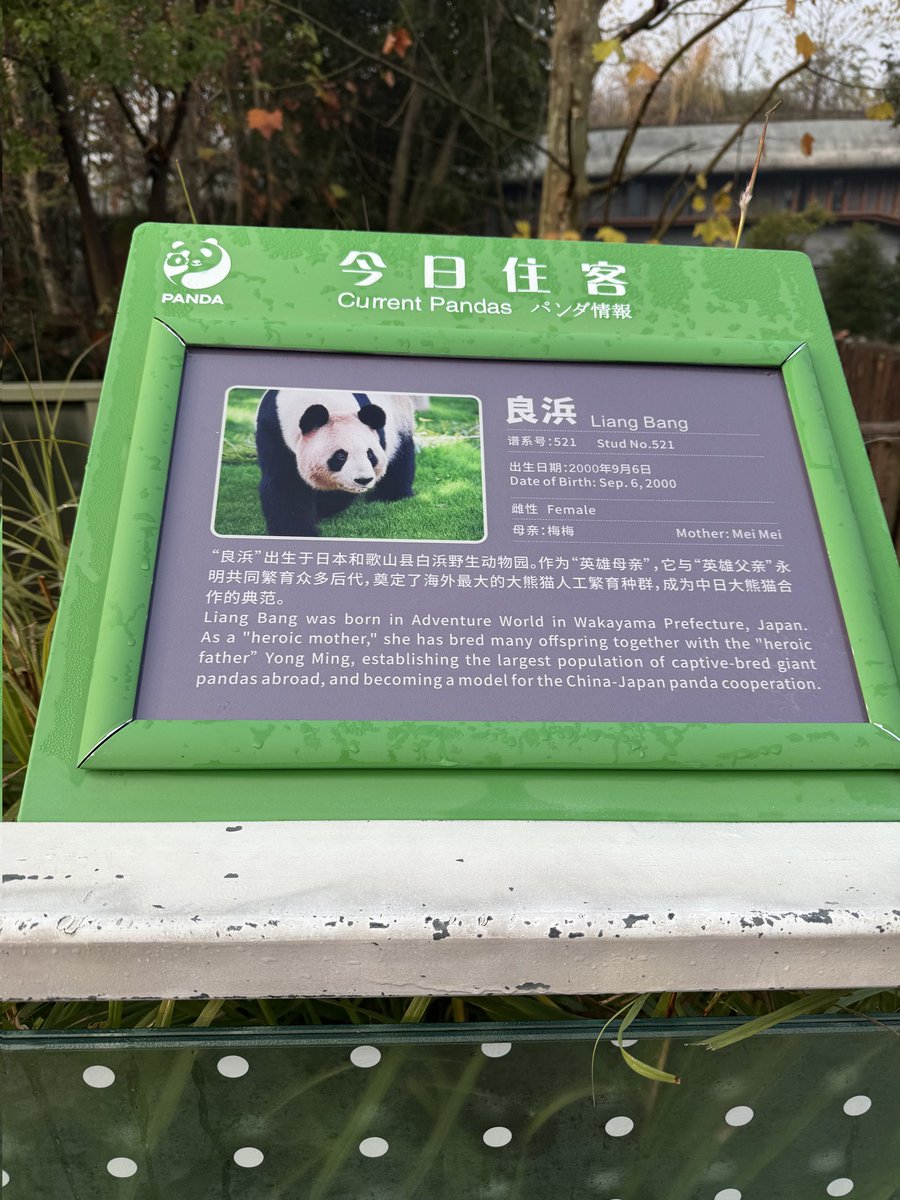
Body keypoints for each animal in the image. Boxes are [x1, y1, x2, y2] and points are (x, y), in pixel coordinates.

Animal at [255, 388, 416, 536]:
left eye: (370, 454)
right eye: (340, 456)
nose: (363, 480)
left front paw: (321, 509)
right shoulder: (273, 430)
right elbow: (285, 484)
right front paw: (298, 531)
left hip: (399, 417)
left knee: (400, 455)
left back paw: (389, 495)